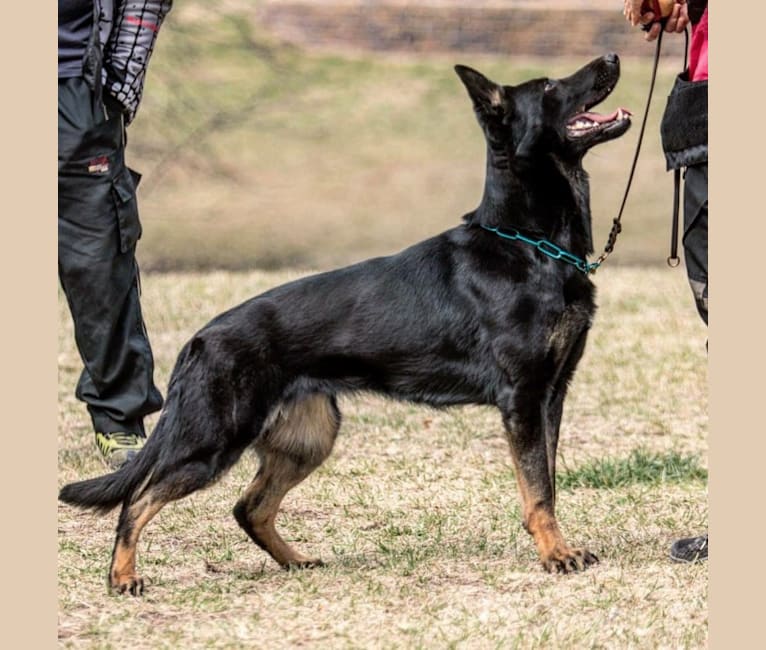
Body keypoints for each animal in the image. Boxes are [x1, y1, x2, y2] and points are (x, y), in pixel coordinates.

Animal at [60, 54, 632, 592]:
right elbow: (538, 490)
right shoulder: (523, 401)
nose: (612, 57)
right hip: (213, 441)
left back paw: (294, 561)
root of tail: (198, 340)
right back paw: (123, 577)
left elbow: (547, 483)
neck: (529, 244)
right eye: (551, 87)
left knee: (249, 507)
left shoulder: (550, 397)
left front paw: (556, 545)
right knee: (137, 499)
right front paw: (556, 554)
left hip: (310, 439)